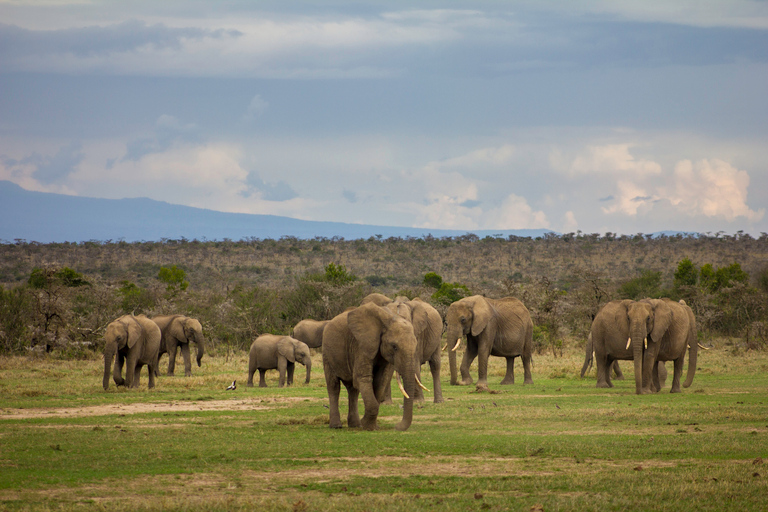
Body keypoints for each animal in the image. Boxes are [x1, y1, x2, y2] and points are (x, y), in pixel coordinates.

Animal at [322, 302, 424, 430]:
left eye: (415, 345)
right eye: (394, 347)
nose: (397, 426)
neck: (389, 318)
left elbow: (380, 381)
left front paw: (371, 426)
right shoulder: (361, 345)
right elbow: (364, 379)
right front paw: (367, 425)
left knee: (353, 390)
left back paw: (355, 425)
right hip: (327, 353)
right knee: (334, 386)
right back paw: (336, 426)